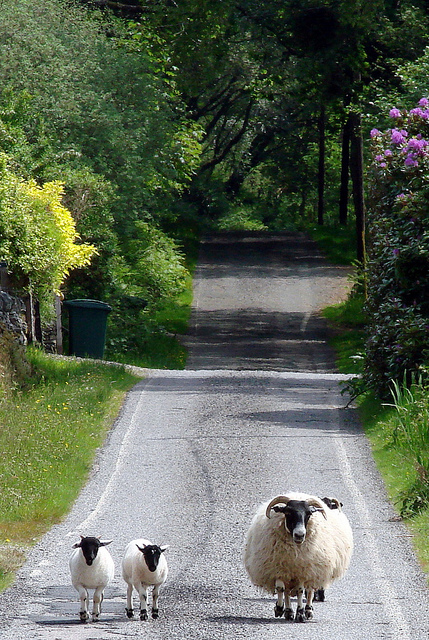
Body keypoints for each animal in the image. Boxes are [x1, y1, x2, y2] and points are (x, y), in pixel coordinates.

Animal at [243, 492, 353, 623]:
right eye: (287, 512)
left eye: (309, 513)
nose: (300, 535)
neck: (294, 551)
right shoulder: (278, 567)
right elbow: (280, 588)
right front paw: (280, 608)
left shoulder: (302, 570)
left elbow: (301, 590)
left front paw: (300, 613)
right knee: (287, 590)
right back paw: (288, 611)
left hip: (313, 569)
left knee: (309, 590)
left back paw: (308, 610)